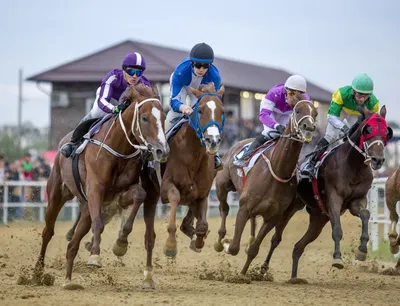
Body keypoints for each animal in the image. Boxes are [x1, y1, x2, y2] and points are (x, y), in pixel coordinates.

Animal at [34, 83, 170, 290]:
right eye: (145, 118)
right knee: (48, 231)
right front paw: (95, 256)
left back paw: (68, 281)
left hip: (85, 208)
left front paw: (121, 243)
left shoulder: (120, 193)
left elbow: (139, 195)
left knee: (72, 244)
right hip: (57, 193)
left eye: (163, 117)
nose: (162, 150)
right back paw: (38, 272)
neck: (119, 149)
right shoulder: (95, 190)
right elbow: (98, 223)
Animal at [217, 98, 318, 278]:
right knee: (224, 208)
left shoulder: (273, 216)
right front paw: (228, 244)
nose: (309, 127)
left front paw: (243, 274)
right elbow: (234, 247)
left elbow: (254, 249)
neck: (277, 171)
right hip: (222, 185)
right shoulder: (244, 208)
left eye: (316, 113)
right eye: (298, 110)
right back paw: (220, 240)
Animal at [260, 106, 394, 284]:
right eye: (368, 129)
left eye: (386, 131)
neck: (353, 166)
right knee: (276, 238)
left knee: (298, 247)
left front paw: (362, 250)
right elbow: (337, 229)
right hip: (289, 209)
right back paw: (263, 268)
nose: (377, 160)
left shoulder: (357, 201)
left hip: (318, 219)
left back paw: (294, 277)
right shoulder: (334, 199)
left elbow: (365, 214)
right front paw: (337, 258)